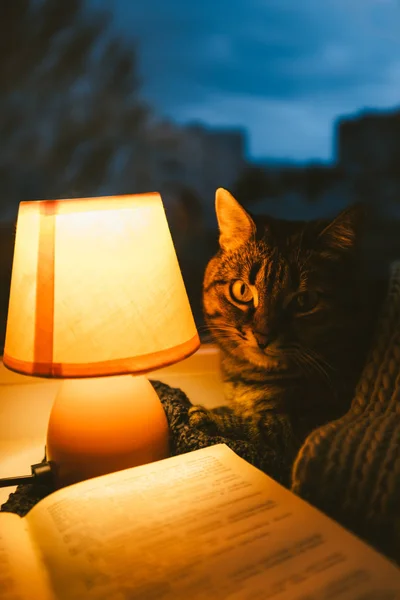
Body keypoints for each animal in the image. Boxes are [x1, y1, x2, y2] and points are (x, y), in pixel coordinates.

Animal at [190, 188, 384, 450]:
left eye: (304, 300)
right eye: (242, 290)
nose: (263, 336)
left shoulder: (305, 424)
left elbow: (260, 425)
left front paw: (210, 416)